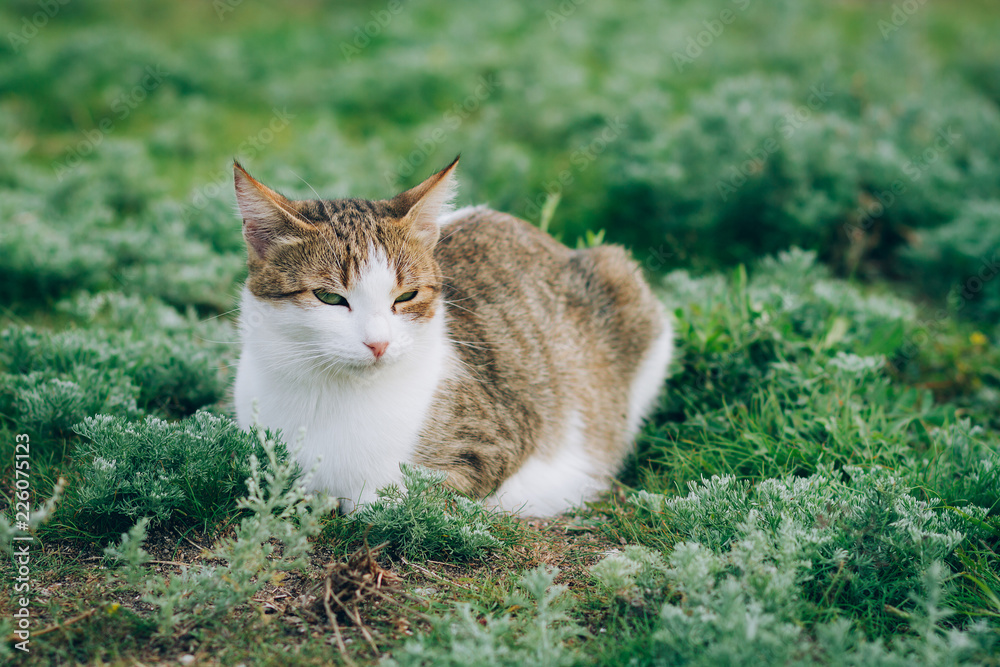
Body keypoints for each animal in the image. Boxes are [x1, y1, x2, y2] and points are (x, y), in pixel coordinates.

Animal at [233, 159, 672, 520]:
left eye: (406, 296)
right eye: (329, 297)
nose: (379, 344)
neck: (331, 393)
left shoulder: (493, 446)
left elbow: (391, 498)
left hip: (626, 287)